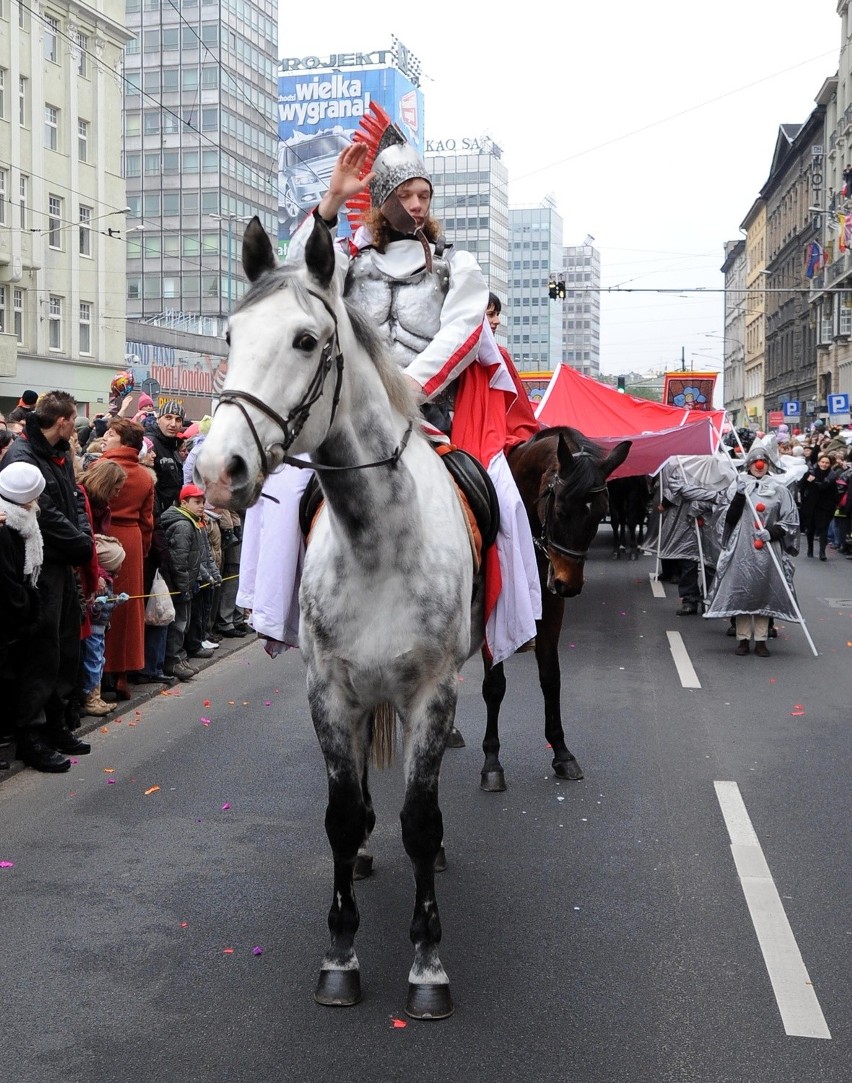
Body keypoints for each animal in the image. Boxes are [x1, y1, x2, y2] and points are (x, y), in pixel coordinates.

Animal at [482, 426, 627, 792]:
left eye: (600, 512)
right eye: (561, 510)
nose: (568, 584)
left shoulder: (551, 609)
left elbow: (551, 677)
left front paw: (562, 753)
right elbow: (494, 686)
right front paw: (491, 760)